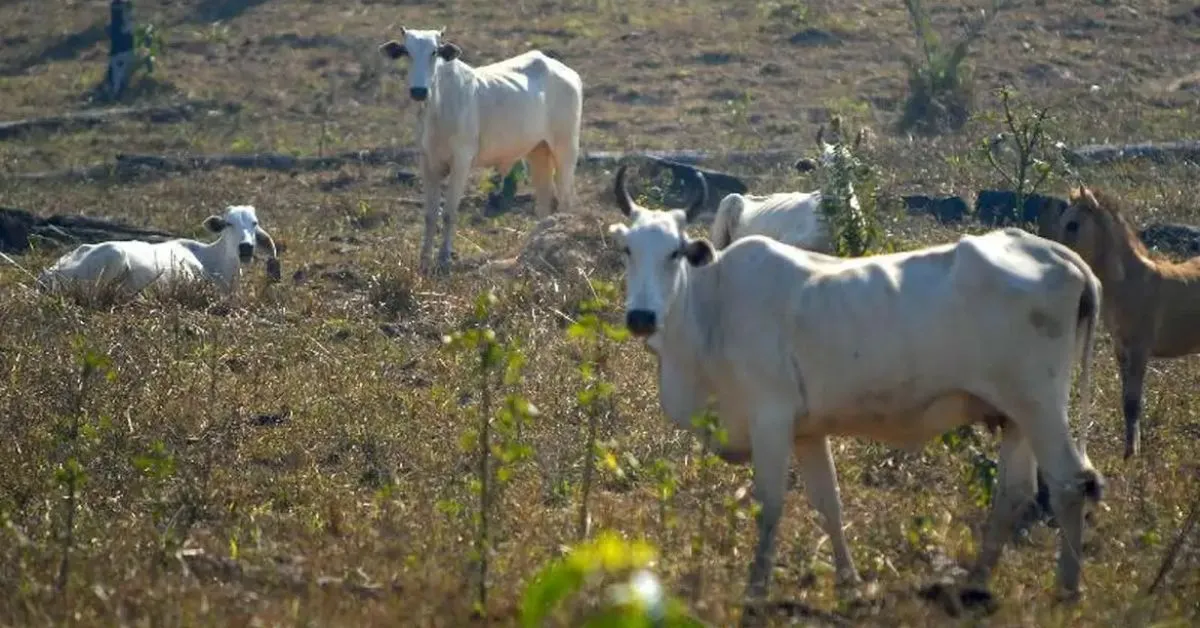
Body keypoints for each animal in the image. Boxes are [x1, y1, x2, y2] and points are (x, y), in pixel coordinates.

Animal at [374, 27, 580, 272]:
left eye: (434, 52)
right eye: (407, 52)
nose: (418, 91)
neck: (438, 106)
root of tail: (566, 72)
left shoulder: (461, 161)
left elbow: (449, 213)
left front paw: (444, 258)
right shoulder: (427, 161)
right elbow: (430, 214)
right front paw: (424, 259)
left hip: (565, 149)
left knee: (566, 201)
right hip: (538, 151)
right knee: (544, 204)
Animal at [609, 164, 1104, 607]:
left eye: (674, 252)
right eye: (628, 250)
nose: (641, 317)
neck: (712, 307)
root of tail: (1059, 254)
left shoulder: (770, 417)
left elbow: (770, 504)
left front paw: (755, 589)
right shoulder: (807, 432)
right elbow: (828, 503)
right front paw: (850, 583)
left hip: (1040, 405)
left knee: (1069, 482)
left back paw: (1067, 588)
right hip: (1016, 415)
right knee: (1014, 493)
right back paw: (977, 582)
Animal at [1046, 186, 1200, 456]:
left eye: (1073, 224)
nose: (1059, 258)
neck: (1130, 282)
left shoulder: (1140, 348)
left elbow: (1133, 401)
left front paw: (1131, 455)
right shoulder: (1121, 349)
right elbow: (1125, 399)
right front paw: (1129, 449)